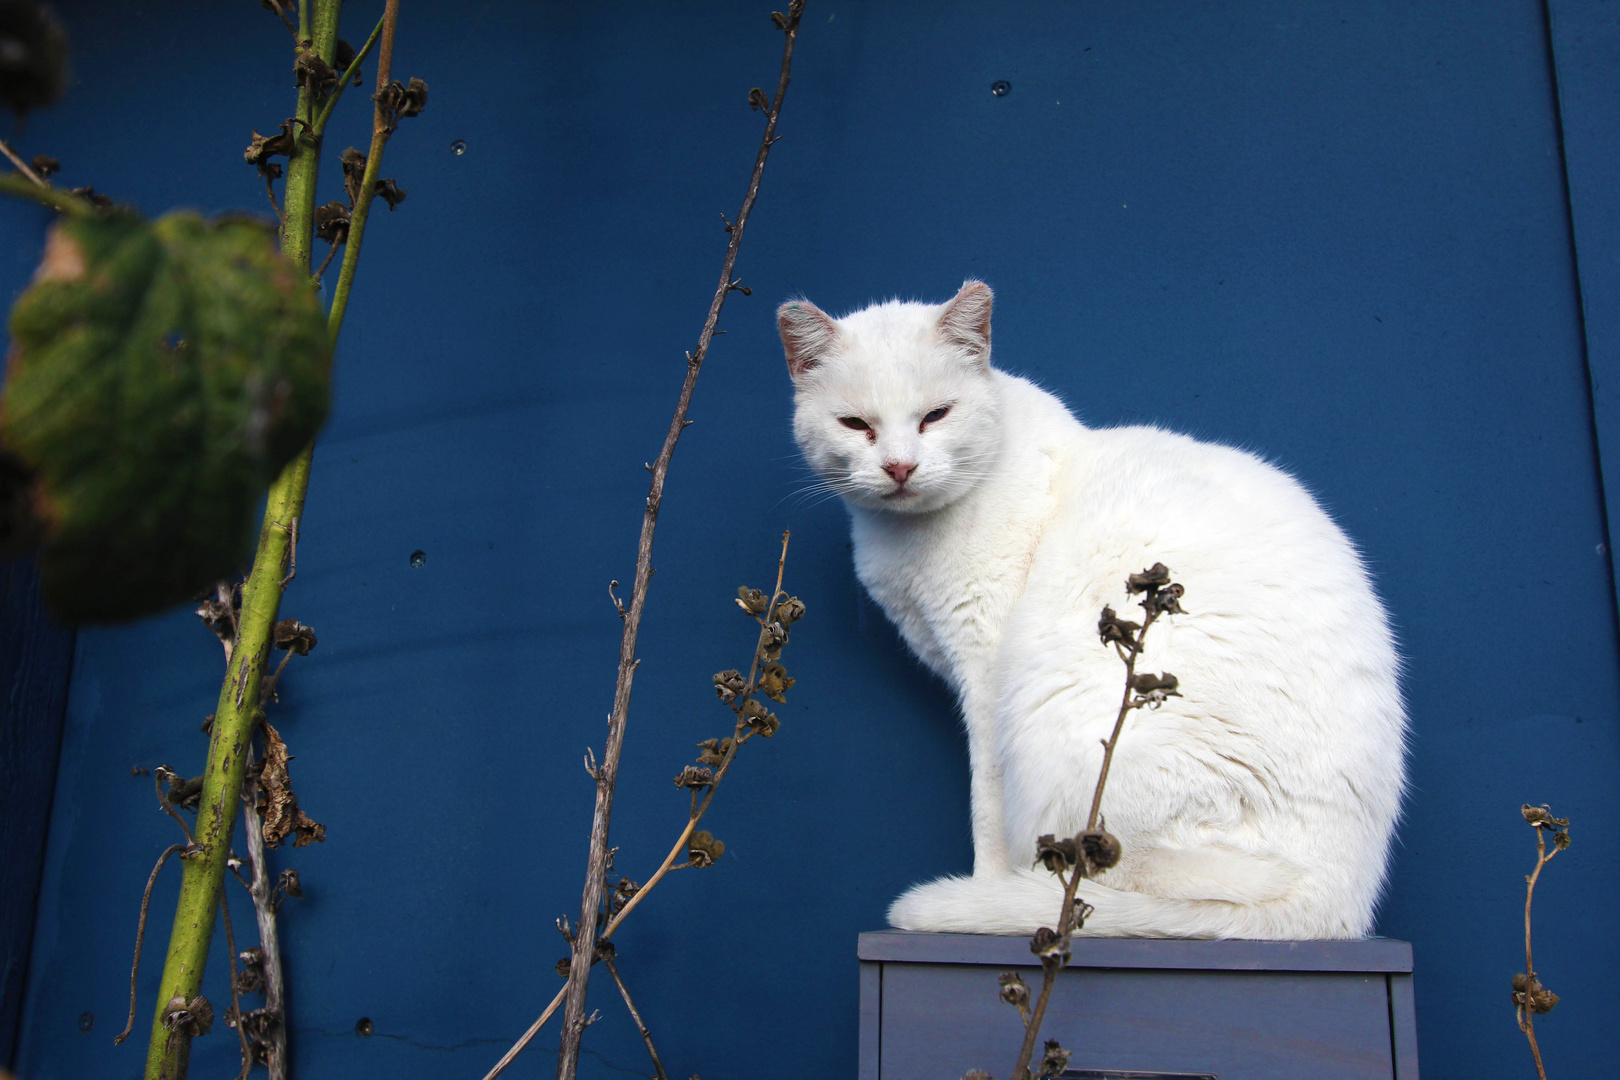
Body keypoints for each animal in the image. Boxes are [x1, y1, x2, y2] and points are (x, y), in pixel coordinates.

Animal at [777, 281, 1399, 939]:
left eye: (935, 416)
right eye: (855, 424)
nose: (900, 467)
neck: (904, 538)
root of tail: (1336, 909)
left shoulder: (984, 675)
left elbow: (986, 805)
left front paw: (986, 884)